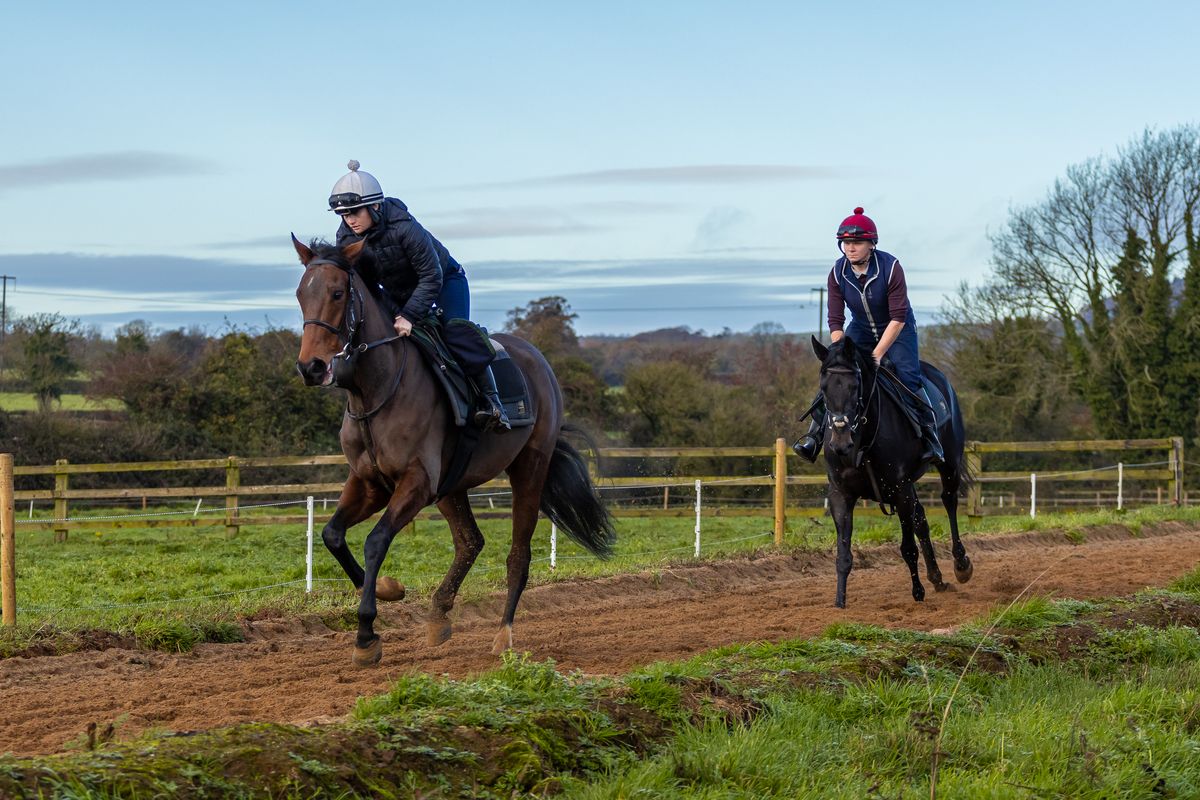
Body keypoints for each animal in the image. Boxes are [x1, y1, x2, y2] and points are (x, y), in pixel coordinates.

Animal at [292, 236, 615, 667]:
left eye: (337, 293)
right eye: (300, 294)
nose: (311, 367)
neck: (375, 391)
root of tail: (538, 361)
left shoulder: (416, 482)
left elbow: (375, 541)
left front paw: (366, 634)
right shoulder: (369, 482)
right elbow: (332, 534)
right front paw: (389, 590)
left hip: (530, 467)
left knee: (518, 554)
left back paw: (503, 635)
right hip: (453, 483)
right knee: (469, 541)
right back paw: (439, 614)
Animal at [810, 335, 973, 608]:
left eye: (855, 385)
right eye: (823, 388)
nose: (840, 443)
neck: (863, 441)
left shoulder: (900, 490)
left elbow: (908, 548)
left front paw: (917, 592)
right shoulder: (840, 495)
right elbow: (843, 554)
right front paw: (840, 602)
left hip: (949, 465)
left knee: (948, 502)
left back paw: (961, 564)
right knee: (922, 520)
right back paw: (937, 578)